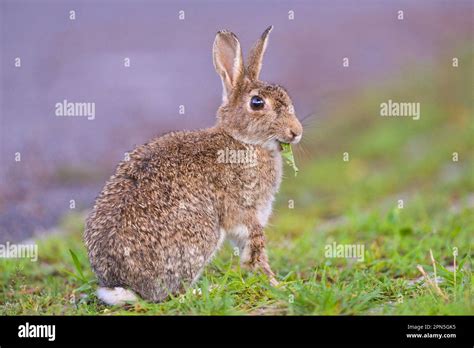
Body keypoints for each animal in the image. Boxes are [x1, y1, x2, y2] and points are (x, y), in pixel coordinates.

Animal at [83, 25, 302, 304]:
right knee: (173, 294)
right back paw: (208, 291)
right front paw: (277, 284)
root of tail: (123, 284)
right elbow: (255, 251)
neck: (243, 140)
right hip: (202, 234)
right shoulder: (245, 212)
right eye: (257, 103)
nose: (296, 132)